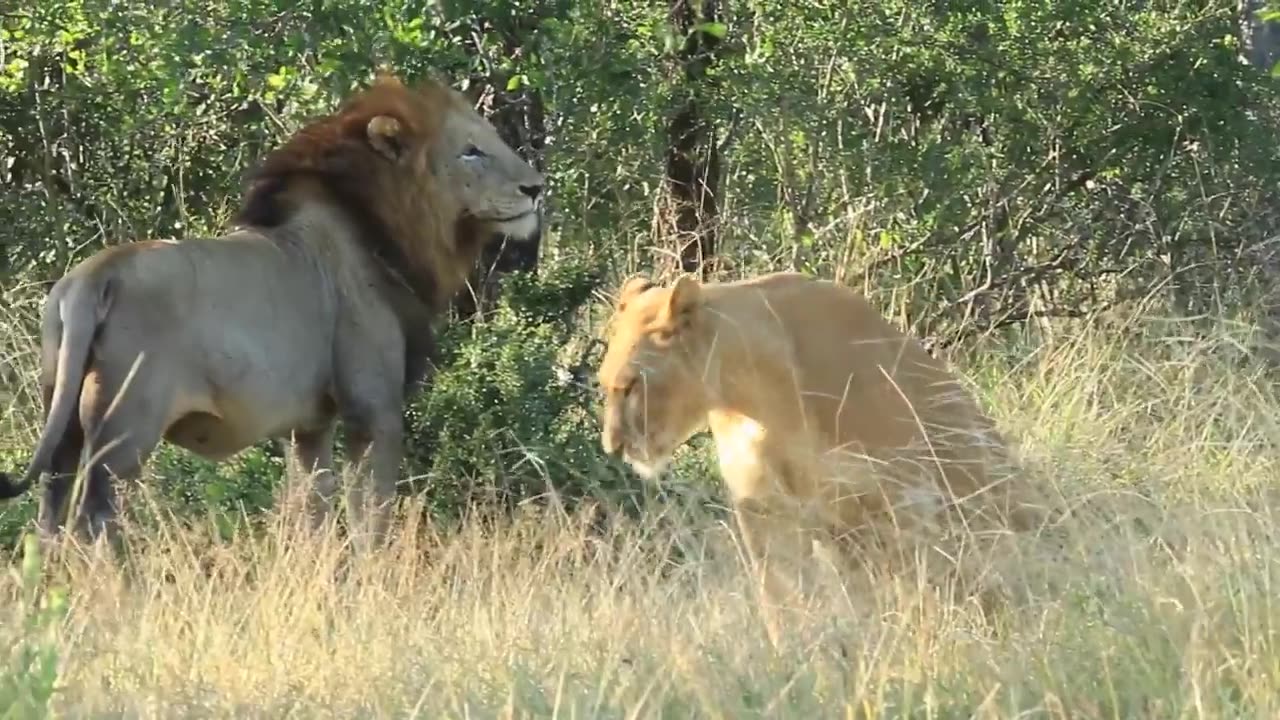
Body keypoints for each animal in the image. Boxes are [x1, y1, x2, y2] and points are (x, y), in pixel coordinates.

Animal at [0, 71, 545, 549]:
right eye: (471, 151)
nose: (536, 188)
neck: (386, 227)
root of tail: (93, 277)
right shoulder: (374, 409)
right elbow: (371, 515)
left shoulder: (311, 425)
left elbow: (314, 507)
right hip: (125, 428)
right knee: (94, 517)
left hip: (62, 420)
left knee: (50, 514)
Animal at [595, 271, 1049, 644]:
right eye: (605, 384)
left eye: (630, 385)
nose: (612, 448)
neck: (749, 395)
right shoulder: (764, 507)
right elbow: (781, 596)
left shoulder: (902, 494)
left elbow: (917, 585)